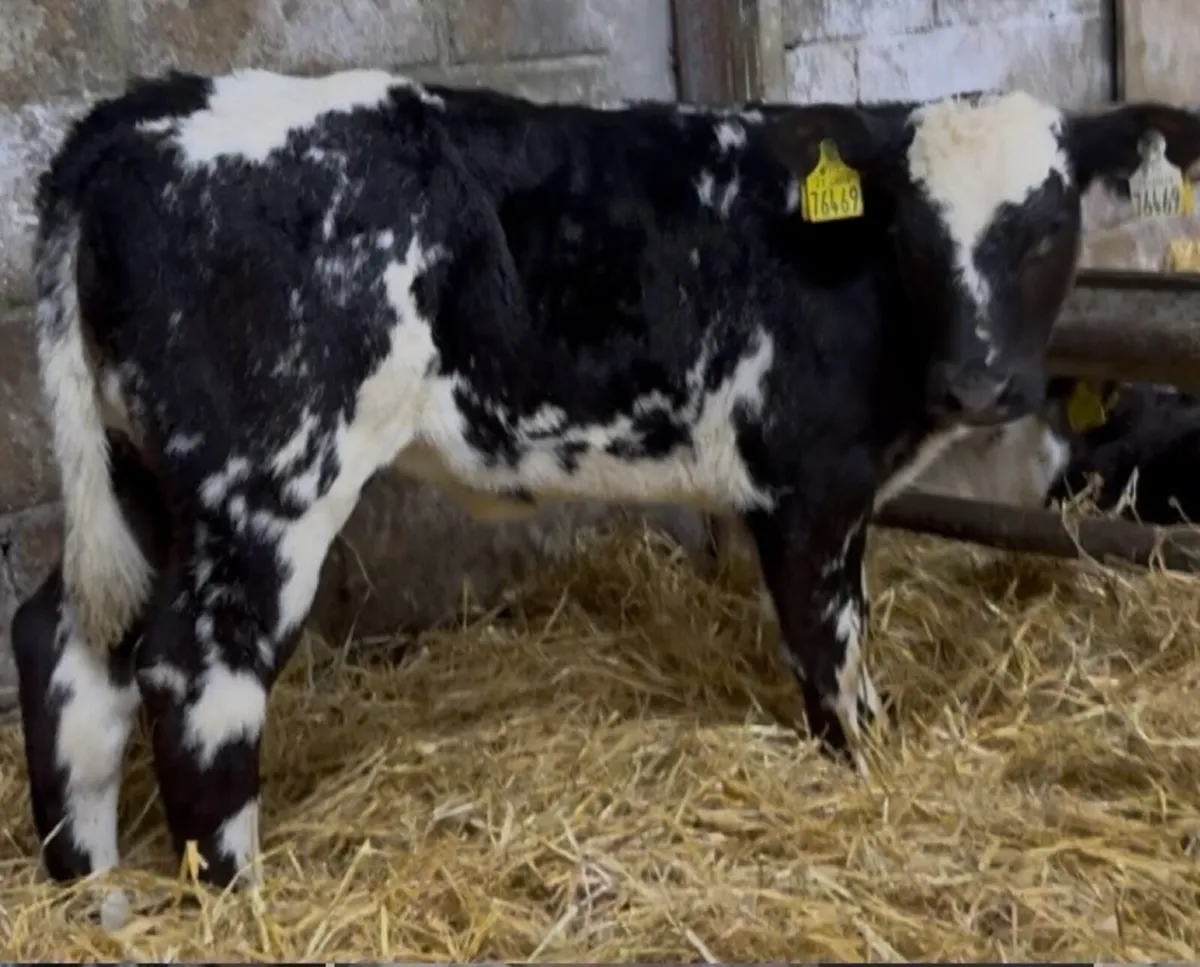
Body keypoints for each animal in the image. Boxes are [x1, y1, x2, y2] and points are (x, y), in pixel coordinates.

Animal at [17, 64, 1200, 891]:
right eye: (911, 231)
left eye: (1050, 225)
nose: (981, 381)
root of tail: (144, 113)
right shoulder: (808, 480)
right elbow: (830, 650)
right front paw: (866, 764)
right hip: (268, 475)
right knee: (195, 665)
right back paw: (234, 890)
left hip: (140, 469)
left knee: (66, 638)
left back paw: (90, 882)